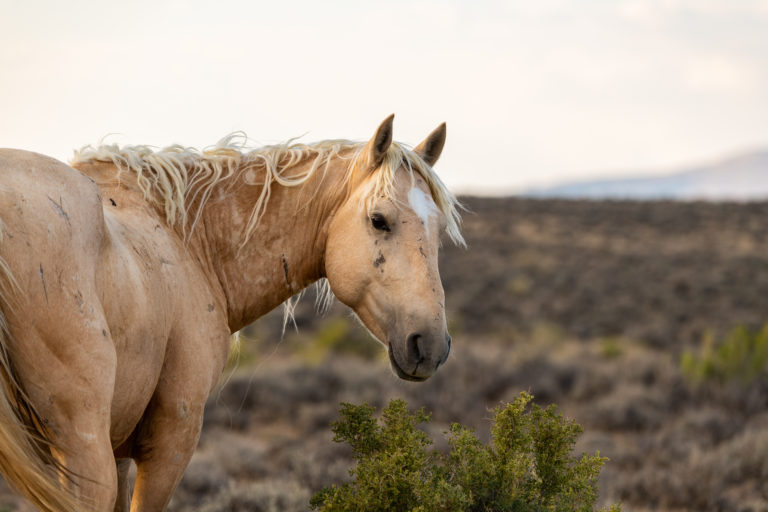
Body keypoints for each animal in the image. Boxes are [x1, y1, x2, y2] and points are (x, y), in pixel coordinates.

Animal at [0, 115, 464, 511]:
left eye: (439, 229)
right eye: (379, 220)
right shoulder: (171, 435)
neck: (187, 240)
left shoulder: (120, 450)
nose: (431, 345)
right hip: (83, 448)